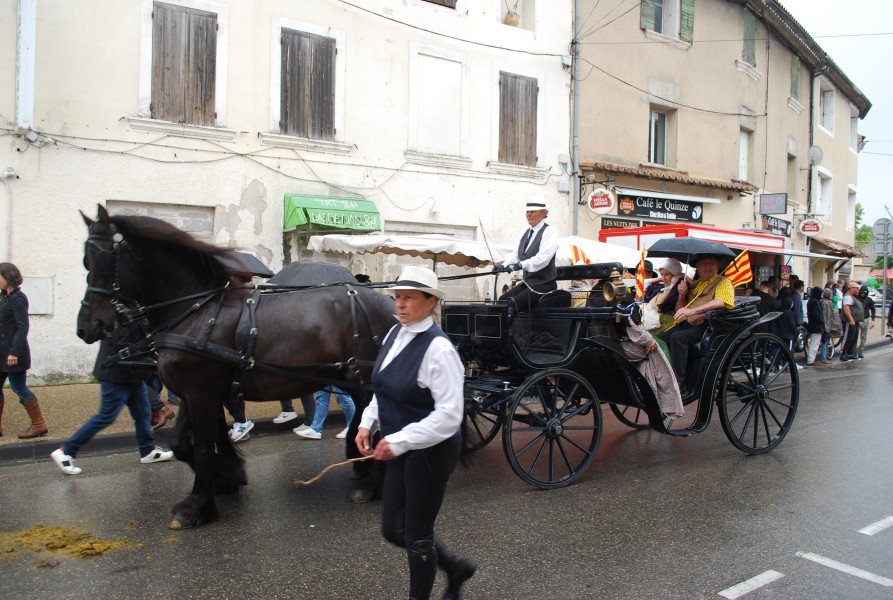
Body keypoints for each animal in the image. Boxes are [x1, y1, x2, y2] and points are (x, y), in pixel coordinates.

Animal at [76, 207, 398, 528]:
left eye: (102, 260)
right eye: (84, 262)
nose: (86, 327)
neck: (196, 312)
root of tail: (391, 306)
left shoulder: (201, 393)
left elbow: (203, 446)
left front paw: (195, 505)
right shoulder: (197, 392)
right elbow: (184, 442)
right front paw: (228, 477)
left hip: (365, 381)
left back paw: (371, 484)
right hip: (352, 380)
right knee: (363, 419)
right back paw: (362, 466)